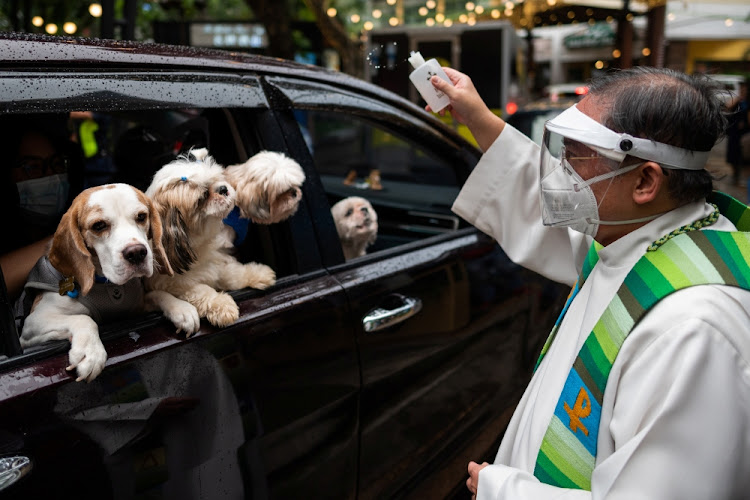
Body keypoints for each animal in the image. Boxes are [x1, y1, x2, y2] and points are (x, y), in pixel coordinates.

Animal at [19, 184, 200, 382]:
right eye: (99, 225)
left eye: (141, 216)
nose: (137, 253)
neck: (109, 286)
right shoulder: (33, 323)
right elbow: (84, 319)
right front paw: (90, 352)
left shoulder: (136, 307)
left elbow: (158, 294)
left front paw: (181, 308)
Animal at [145, 146, 278, 330]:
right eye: (202, 197)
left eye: (218, 179)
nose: (223, 189)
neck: (198, 247)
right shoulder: (173, 283)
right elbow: (201, 290)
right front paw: (221, 305)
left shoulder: (215, 261)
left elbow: (232, 274)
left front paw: (256, 273)